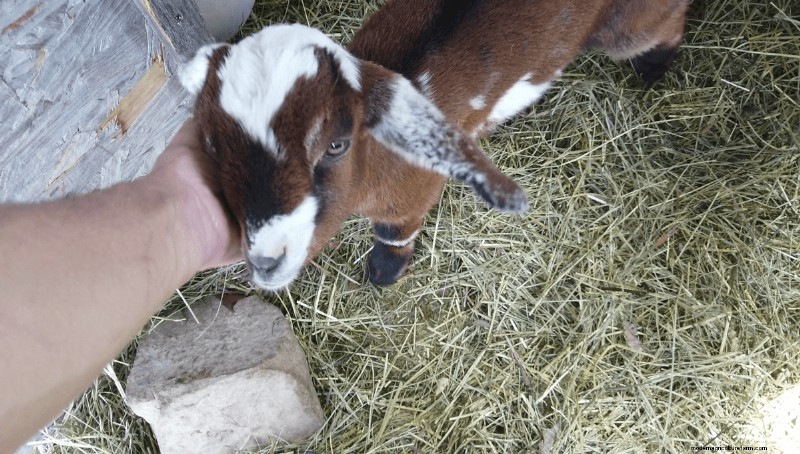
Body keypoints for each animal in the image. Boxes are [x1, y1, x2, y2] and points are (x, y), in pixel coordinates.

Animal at [180, 0, 689, 290]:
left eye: (337, 145)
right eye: (212, 146)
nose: (267, 261)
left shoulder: (413, 193)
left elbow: (396, 231)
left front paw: (384, 273)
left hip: (628, 27)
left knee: (667, 21)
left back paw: (653, 69)